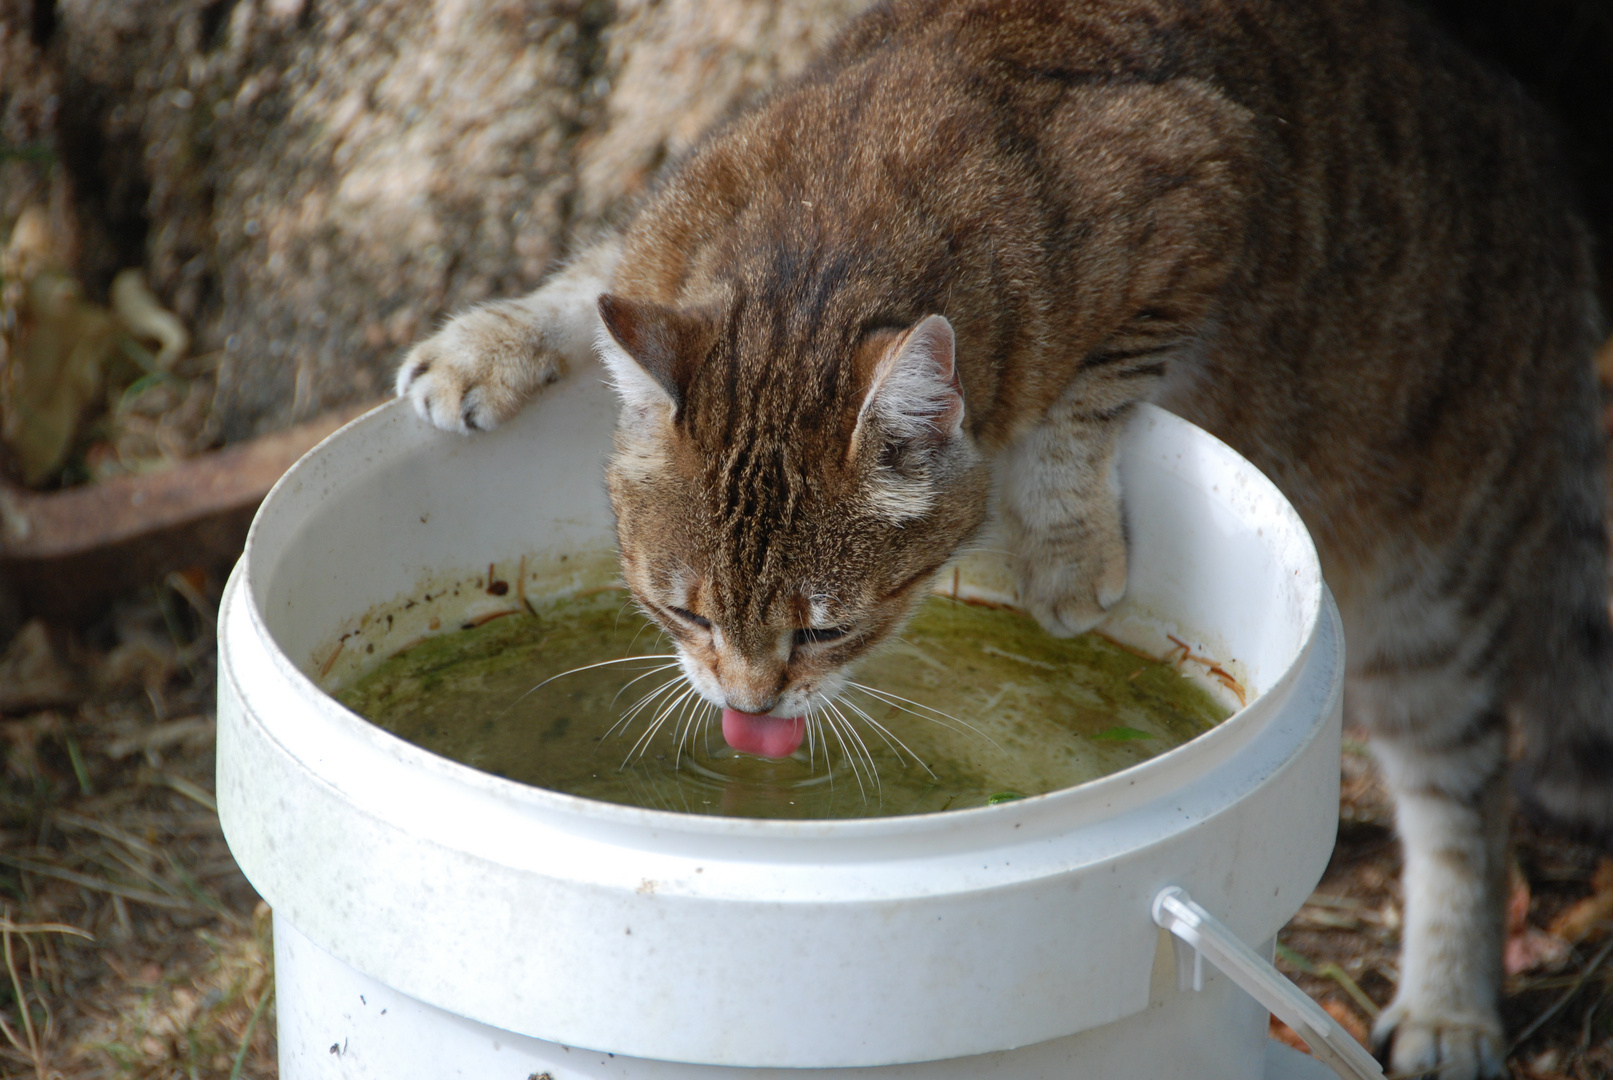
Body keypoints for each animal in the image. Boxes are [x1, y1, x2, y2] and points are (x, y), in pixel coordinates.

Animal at [393, 4, 1613, 1076]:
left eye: (825, 631)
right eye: (681, 609)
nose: (746, 704)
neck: (817, 246)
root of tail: (1541, 158)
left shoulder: (1200, 184)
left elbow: (1079, 409)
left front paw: (1062, 550)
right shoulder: (672, 229)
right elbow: (592, 273)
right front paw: (487, 342)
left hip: (1430, 582)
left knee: (1465, 795)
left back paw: (1451, 1003)